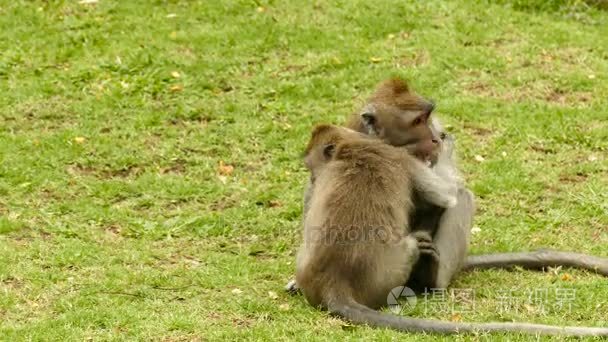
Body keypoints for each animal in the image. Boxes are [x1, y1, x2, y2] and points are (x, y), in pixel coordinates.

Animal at [296, 123, 608, 336]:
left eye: (310, 164)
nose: (311, 176)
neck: (350, 147)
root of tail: (335, 283)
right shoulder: (402, 158)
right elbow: (446, 196)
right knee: (460, 198)